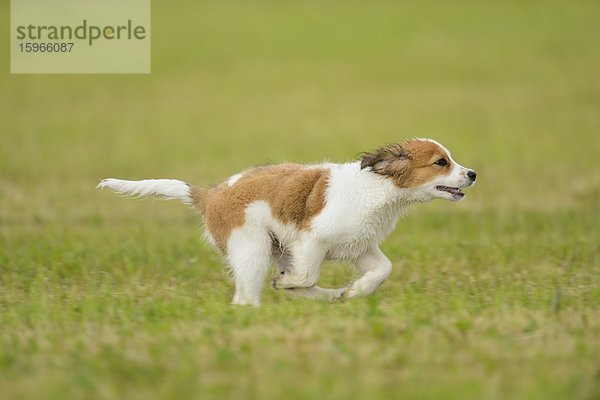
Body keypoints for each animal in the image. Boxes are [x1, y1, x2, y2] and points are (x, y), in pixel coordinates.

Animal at [98, 138, 476, 306]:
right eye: (441, 162)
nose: (472, 174)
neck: (376, 188)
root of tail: (210, 195)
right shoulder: (312, 240)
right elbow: (306, 275)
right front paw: (287, 284)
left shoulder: (358, 246)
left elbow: (383, 269)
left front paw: (355, 290)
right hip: (253, 247)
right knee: (246, 296)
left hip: (279, 247)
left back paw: (332, 295)